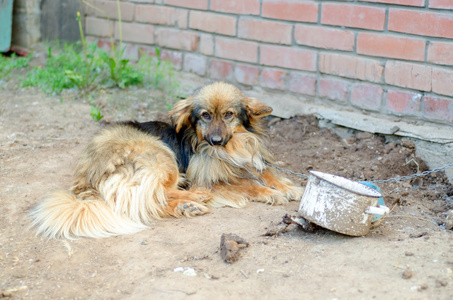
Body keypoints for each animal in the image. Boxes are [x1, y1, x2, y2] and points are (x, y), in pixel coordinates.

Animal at [30, 81, 302, 239]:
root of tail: (87, 174)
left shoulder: (247, 162)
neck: (230, 148)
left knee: (148, 202)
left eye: (228, 114)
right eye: (205, 115)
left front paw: (290, 187)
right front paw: (271, 193)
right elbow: (248, 183)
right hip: (159, 155)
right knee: (155, 195)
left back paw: (187, 206)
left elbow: (266, 173)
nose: (215, 140)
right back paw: (194, 198)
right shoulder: (206, 178)